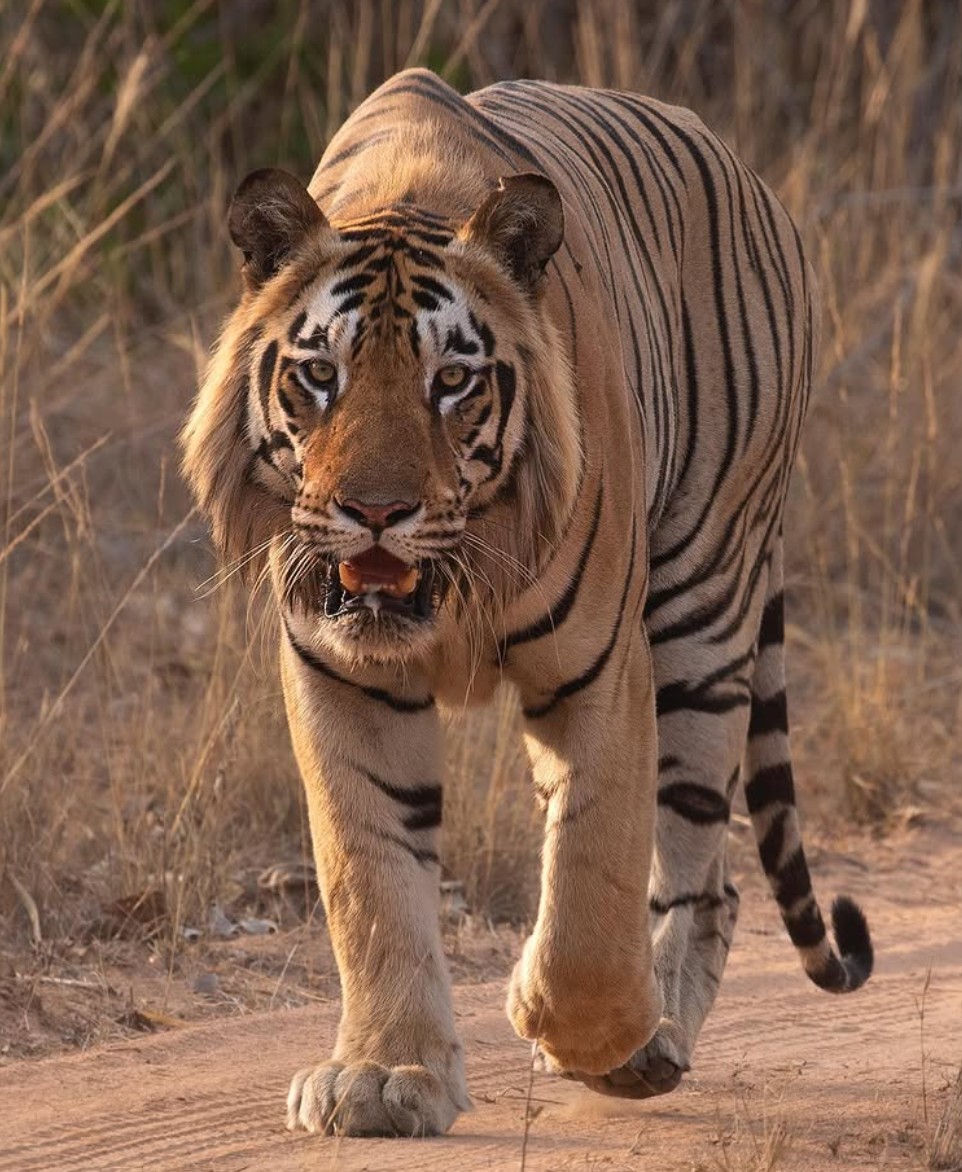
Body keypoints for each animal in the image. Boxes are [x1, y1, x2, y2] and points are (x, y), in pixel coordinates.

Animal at [182, 68, 873, 1138]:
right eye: (321, 375)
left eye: (452, 381)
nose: (373, 512)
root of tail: (750, 176)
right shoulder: (342, 679)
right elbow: (370, 879)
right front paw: (382, 1074)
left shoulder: (604, 670)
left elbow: (591, 884)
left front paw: (585, 1032)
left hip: (705, 606)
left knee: (700, 866)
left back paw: (656, 1038)